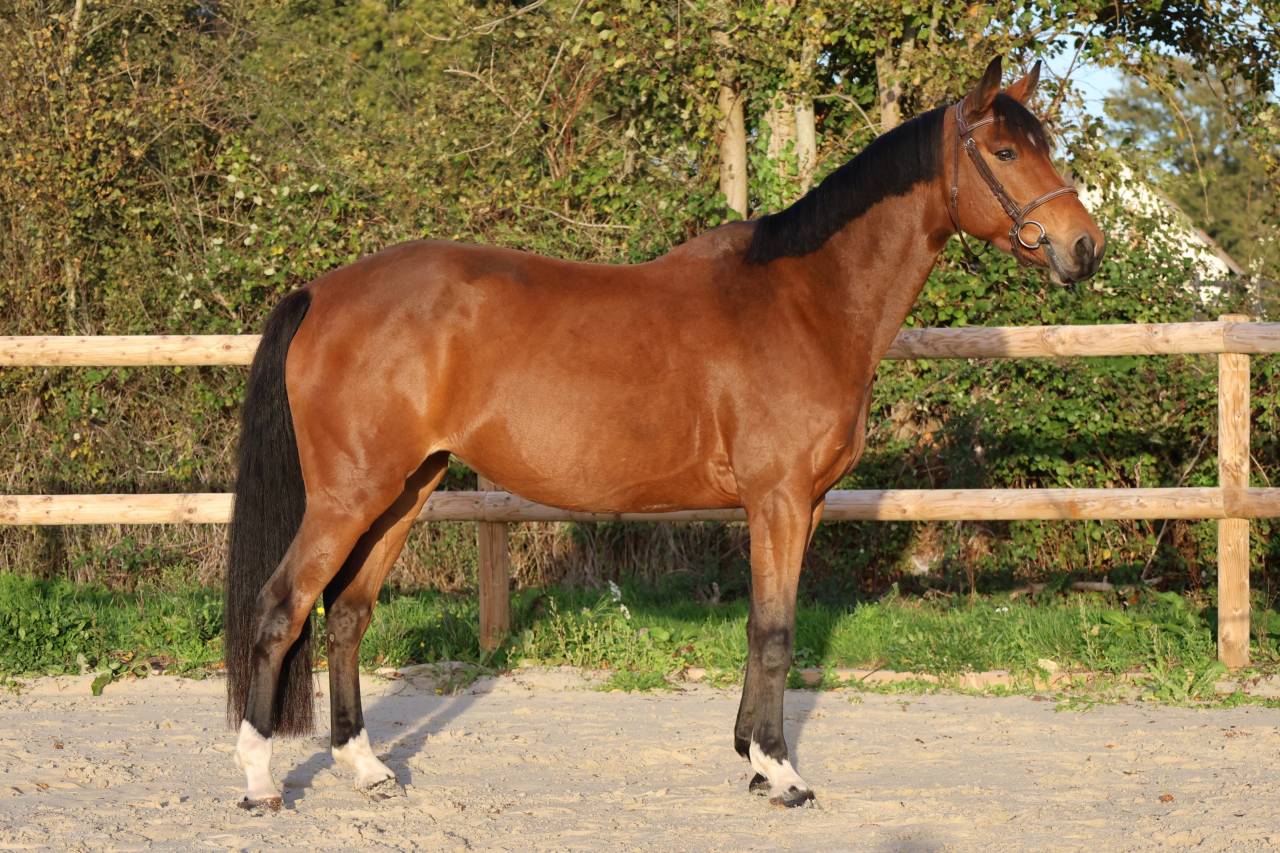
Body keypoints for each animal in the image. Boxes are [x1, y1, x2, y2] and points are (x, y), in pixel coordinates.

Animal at [223, 56, 1104, 811]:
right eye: (1004, 150)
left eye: (1045, 146)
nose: (1084, 246)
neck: (807, 301)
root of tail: (323, 291)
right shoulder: (779, 499)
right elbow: (775, 632)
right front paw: (783, 773)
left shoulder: (803, 504)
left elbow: (762, 627)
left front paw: (753, 758)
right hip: (350, 494)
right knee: (280, 608)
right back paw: (261, 781)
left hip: (407, 487)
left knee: (346, 615)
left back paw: (366, 766)